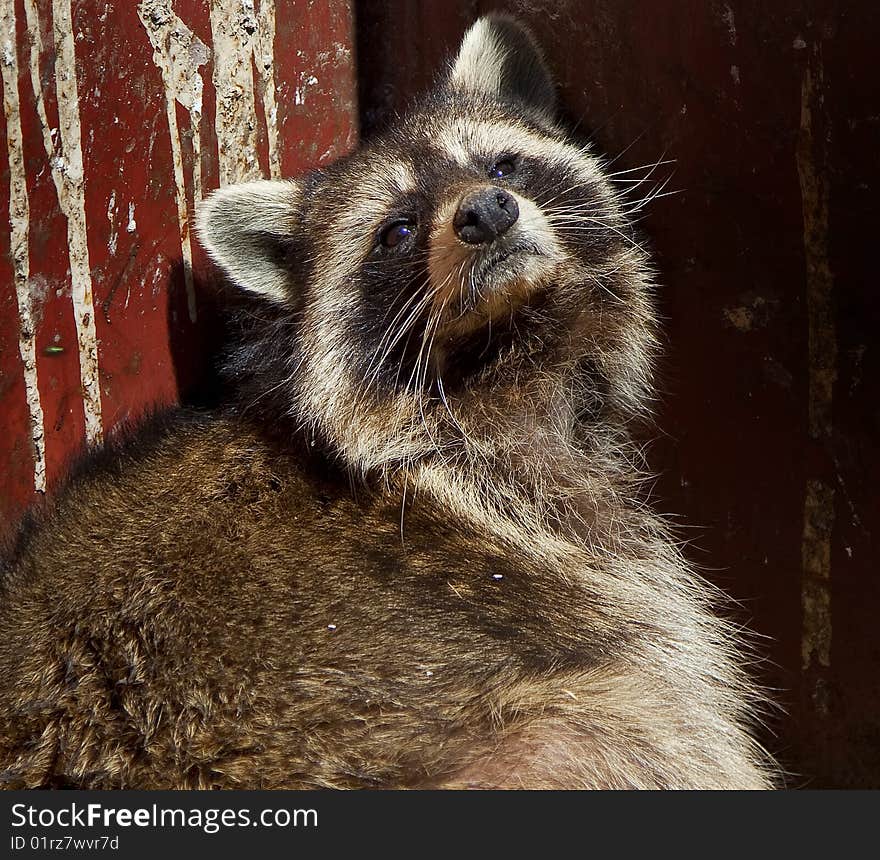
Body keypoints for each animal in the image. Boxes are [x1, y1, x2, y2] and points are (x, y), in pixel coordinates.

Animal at [0, 15, 776, 792]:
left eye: (503, 167)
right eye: (397, 229)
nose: (487, 212)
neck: (505, 355)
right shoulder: (571, 544)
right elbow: (673, 685)